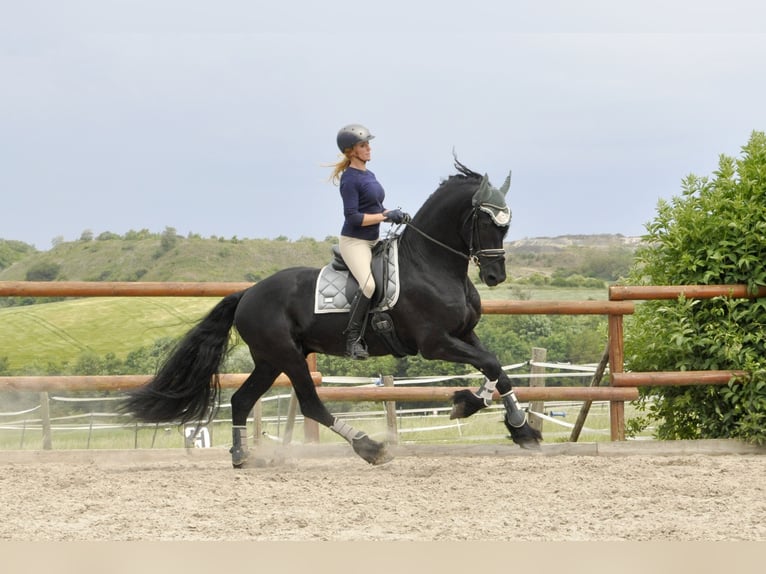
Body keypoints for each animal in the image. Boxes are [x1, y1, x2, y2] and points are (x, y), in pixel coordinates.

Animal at [122, 159, 543, 467]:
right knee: (310, 404)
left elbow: (496, 369)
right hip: (288, 357)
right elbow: (491, 364)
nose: (495, 276)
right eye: (485, 220)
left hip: (270, 360)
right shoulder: (435, 343)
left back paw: (242, 456)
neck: (431, 264)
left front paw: (510, 424)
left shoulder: (465, 334)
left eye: (507, 223)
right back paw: (369, 447)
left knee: (242, 400)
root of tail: (247, 294)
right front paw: (506, 421)